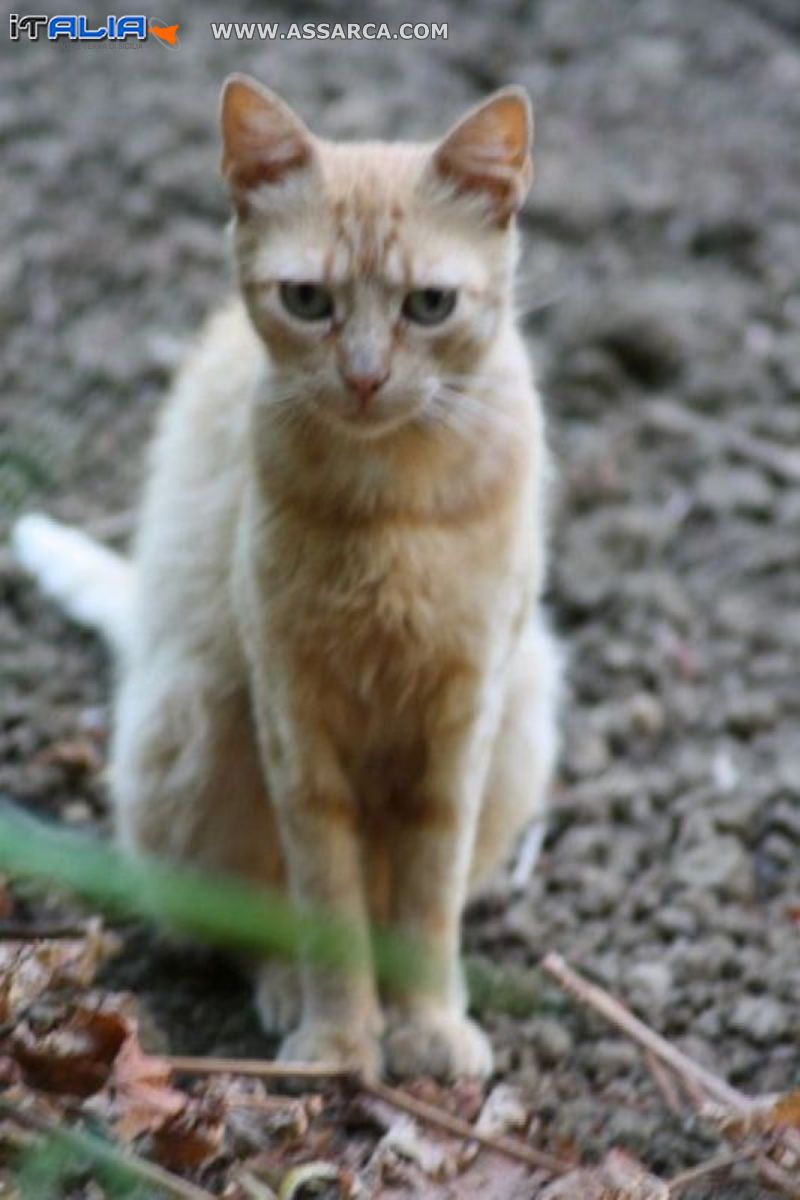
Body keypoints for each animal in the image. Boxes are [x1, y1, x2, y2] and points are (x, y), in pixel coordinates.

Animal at [12, 75, 563, 1084]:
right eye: (308, 299)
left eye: (430, 304)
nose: (366, 377)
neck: (392, 501)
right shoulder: (293, 709)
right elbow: (323, 895)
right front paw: (342, 1037)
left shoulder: (466, 711)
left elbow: (429, 890)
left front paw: (428, 1021)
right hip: (198, 711)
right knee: (240, 915)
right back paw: (283, 988)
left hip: (528, 705)